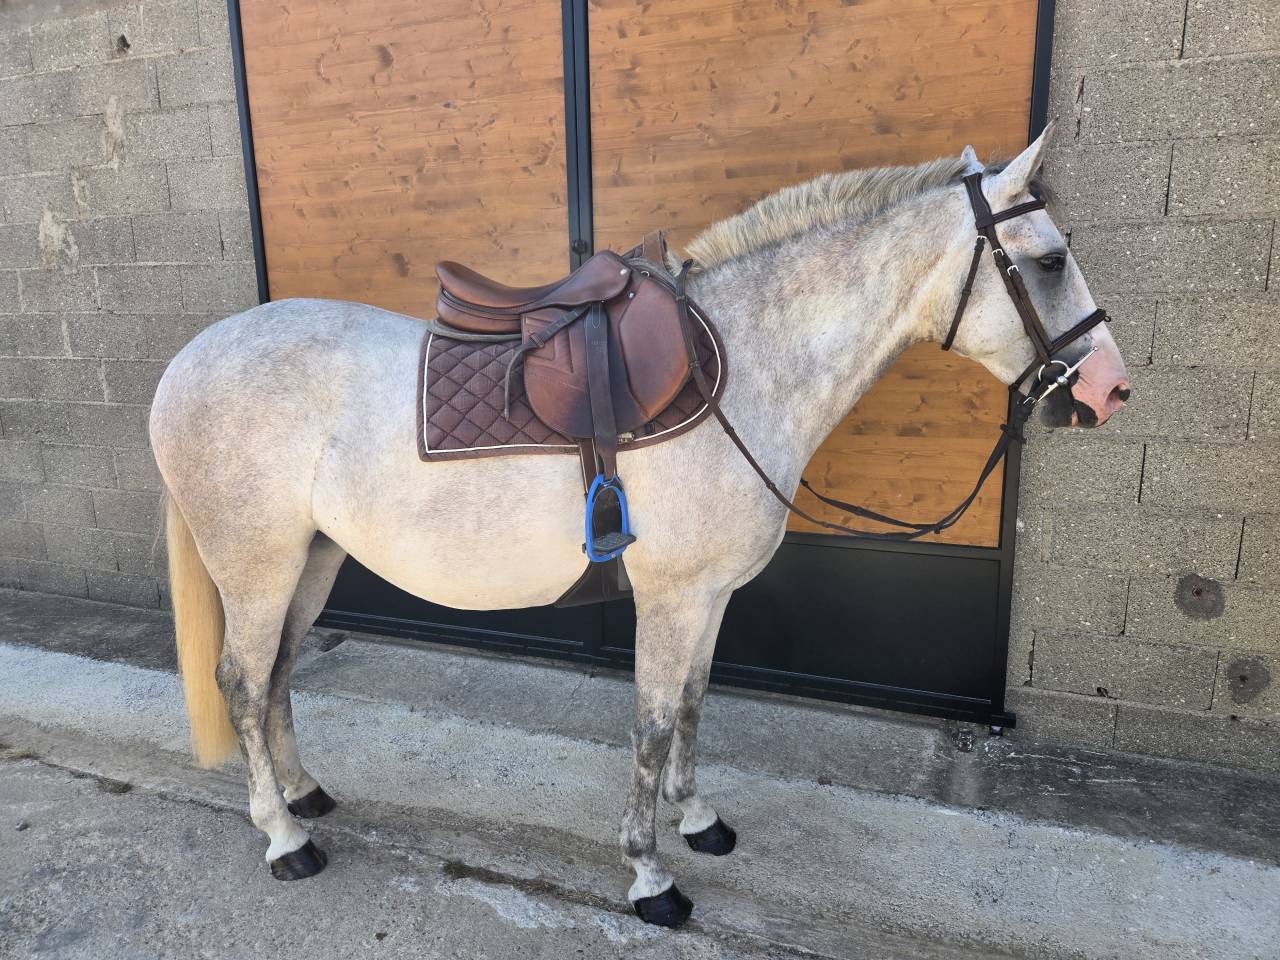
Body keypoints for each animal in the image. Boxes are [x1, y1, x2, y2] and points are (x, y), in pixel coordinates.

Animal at [150, 126, 1130, 927]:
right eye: (1048, 261)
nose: (1110, 390)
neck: (740, 370)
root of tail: (186, 361)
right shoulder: (670, 597)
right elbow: (653, 726)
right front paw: (650, 877)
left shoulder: (710, 599)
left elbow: (693, 705)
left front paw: (696, 820)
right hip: (257, 566)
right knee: (242, 681)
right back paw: (284, 838)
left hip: (311, 560)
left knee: (278, 673)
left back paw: (304, 794)